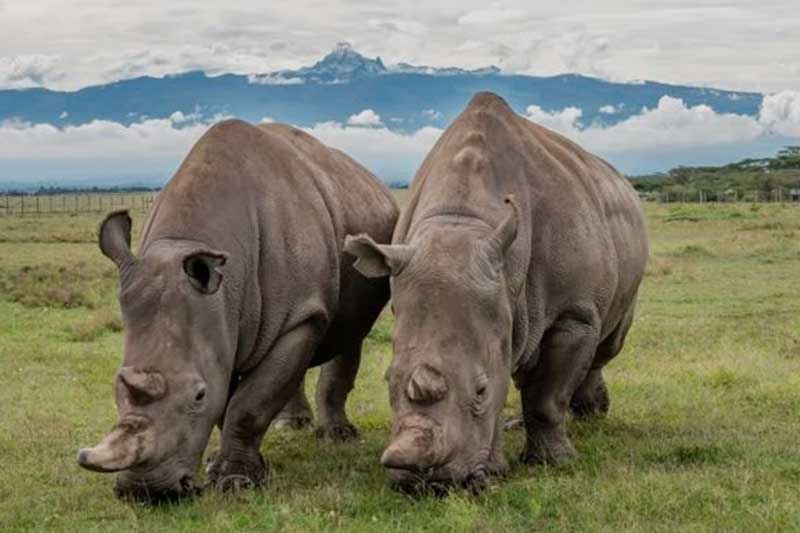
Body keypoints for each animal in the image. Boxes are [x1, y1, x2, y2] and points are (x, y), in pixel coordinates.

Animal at [77, 120, 398, 501]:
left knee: (349, 334)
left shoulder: (300, 314)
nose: (147, 491)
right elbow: (230, 399)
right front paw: (221, 467)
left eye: (197, 395)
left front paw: (236, 482)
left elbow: (248, 404)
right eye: (117, 385)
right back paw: (291, 426)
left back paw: (337, 437)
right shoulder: (219, 322)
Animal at [345, 92, 648, 491]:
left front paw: (555, 462)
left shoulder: (574, 312)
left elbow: (547, 398)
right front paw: (494, 471)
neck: (462, 221)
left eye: (480, 390)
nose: (424, 482)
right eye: (388, 381)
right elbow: (507, 372)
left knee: (606, 345)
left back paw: (591, 416)